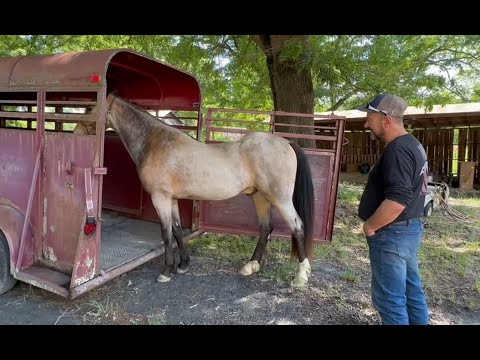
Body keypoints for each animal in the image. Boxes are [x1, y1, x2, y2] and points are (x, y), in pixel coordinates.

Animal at [79, 95, 316, 286]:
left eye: (91, 107)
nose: (77, 131)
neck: (156, 143)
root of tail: (286, 143)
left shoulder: (160, 198)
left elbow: (166, 233)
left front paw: (166, 271)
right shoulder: (171, 199)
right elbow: (176, 231)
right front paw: (183, 265)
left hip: (280, 198)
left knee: (297, 226)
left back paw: (301, 276)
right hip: (260, 197)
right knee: (266, 228)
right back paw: (251, 266)